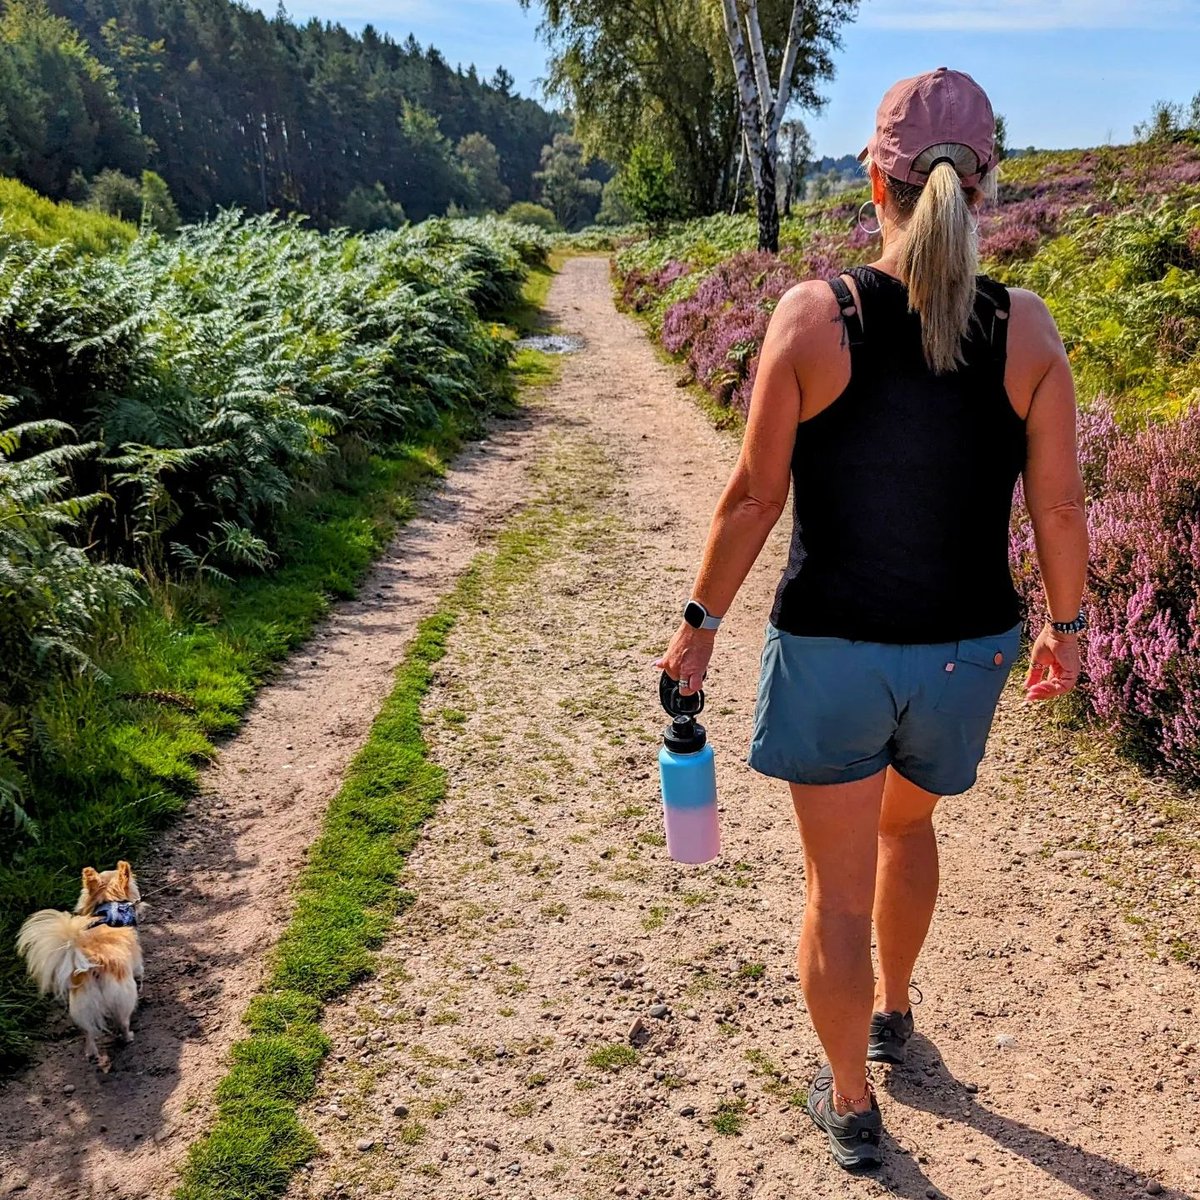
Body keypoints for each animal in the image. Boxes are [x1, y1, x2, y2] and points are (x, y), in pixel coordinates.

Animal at [17, 864, 144, 1070]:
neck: (108, 909)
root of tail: (92, 964)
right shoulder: (137, 961)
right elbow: (140, 972)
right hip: (124, 998)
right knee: (122, 1022)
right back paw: (128, 1036)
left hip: (82, 1008)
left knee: (90, 1033)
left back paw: (91, 1053)